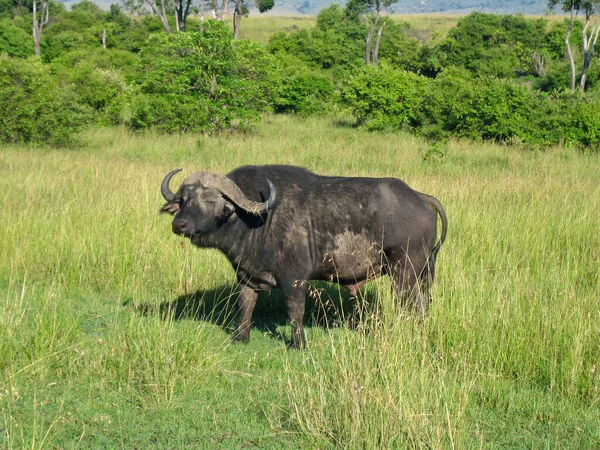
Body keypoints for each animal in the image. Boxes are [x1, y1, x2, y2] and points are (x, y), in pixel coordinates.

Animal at [159, 165, 446, 348]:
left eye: (210, 199)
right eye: (183, 199)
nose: (179, 224)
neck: (258, 219)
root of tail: (420, 197)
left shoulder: (294, 279)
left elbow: (295, 312)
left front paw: (299, 344)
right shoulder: (246, 277)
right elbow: (245, 307)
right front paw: (241, 338)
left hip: (404, 271)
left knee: (409, 305)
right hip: (421, 272)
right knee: (423, 304)